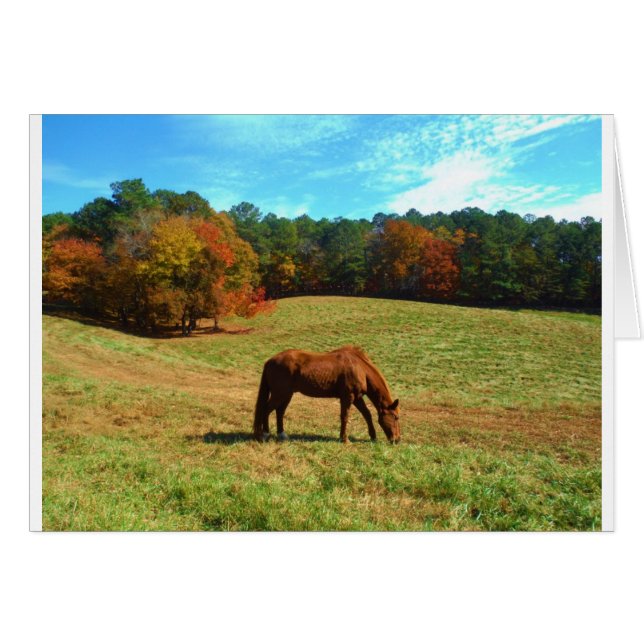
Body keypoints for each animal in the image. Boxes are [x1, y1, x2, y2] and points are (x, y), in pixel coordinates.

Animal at [252, 346, 401, 444]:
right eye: (396, 417)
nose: (397, 439)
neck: (360, 368)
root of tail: (270, 361)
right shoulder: (348, 397)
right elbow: (345, 417)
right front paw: (344, 439)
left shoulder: (357, 398)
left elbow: (367, 415)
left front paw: (373, 436)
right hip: (280, 394)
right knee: (266, 410)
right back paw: (264, 435)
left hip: (287, 395)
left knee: (279, 412)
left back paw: (281, 435)